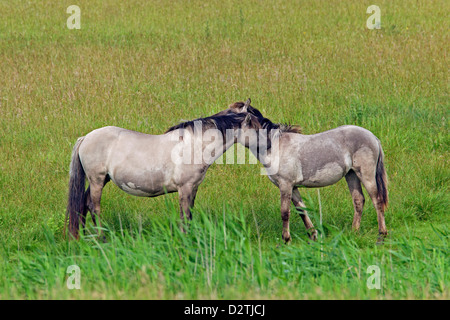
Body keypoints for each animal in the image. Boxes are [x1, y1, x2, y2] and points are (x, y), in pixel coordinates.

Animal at [64, 111, 258, 239]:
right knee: (93, 206)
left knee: (83, 203)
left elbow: (189, 215)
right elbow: (185, 215)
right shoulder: (185, 188)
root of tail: (85, 138)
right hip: (96, 179)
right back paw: (101, 239)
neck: (194, 146)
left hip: (102, 179)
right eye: (257, 127)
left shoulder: (193, 188)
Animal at [221, 99, 386, 244]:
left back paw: (381, 235)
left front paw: (286, 239)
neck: (274, 147)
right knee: (358, 200)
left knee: (377, 200)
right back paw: (353, 232)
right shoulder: (293, 187)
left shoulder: (286, 185)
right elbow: (302, 210)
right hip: (351, 174)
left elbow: (285, 212)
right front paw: (313, 235)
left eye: (232, 116)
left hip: (366, 174)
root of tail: (373, 137)